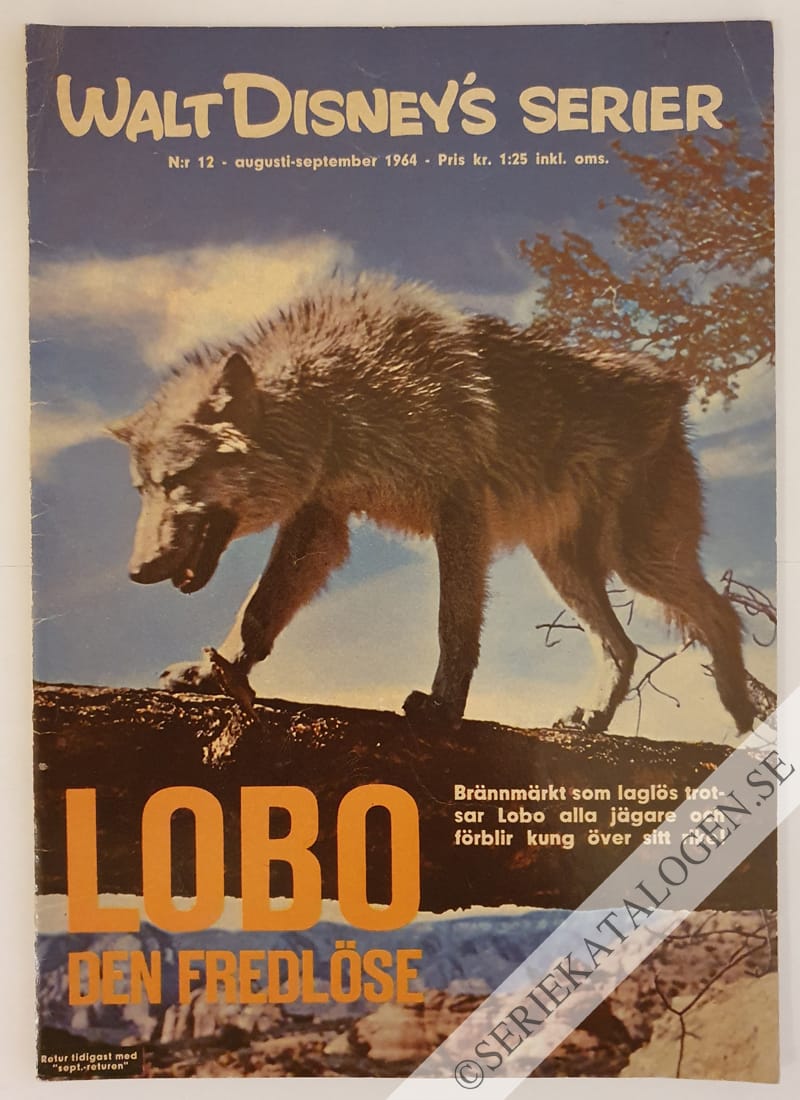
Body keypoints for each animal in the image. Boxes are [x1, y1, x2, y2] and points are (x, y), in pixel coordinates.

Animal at [110, 275, 755, 734]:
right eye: (143, 490)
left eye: (178, 479)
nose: (136, 572)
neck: (334, 401)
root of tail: (670, 385)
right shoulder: (321, 521)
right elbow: (256, 613)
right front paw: (212, 675)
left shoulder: (460, 510)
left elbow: (454, 626)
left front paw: (445, 709)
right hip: (565, 567)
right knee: (624, 648)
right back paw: (592, 721)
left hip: (637, 561)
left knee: (721, 615)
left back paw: (743, 721)